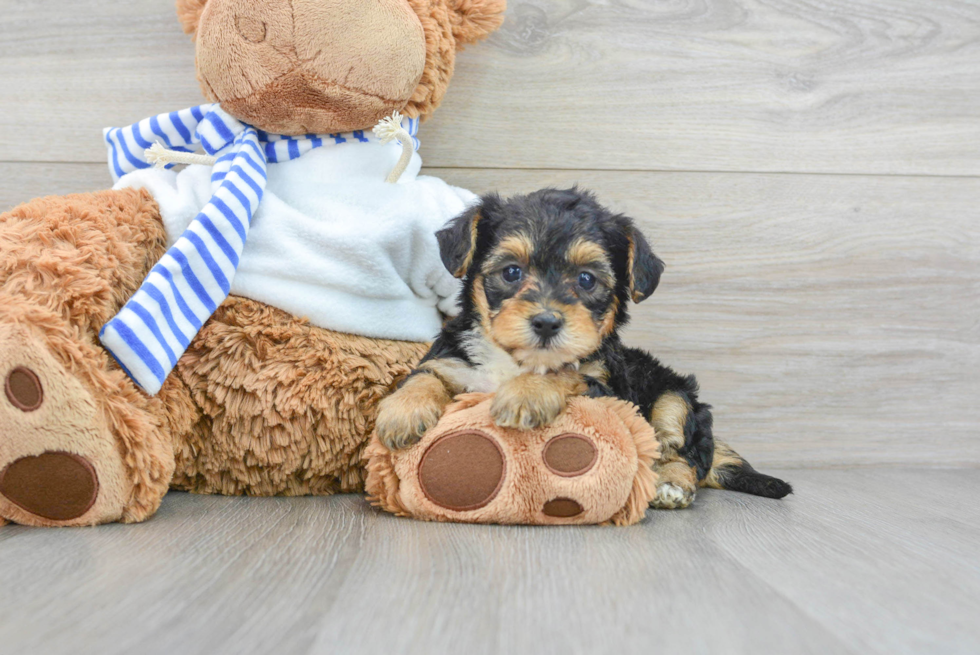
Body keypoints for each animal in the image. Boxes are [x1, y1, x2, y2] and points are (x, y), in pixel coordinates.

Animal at [374, 190, 788, 508]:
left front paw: (525, 394)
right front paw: (401, 412)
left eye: (586, 280)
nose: (546, 322)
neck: (516, 361)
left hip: (676, 397)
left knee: (680, 451)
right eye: (511, 272)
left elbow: (564, 372)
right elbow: (426, 373)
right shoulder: (454, 359)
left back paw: (670, 485)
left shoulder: (604, 387)